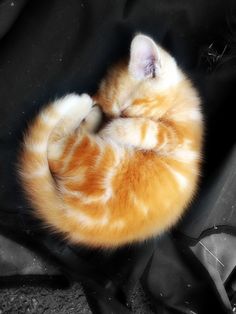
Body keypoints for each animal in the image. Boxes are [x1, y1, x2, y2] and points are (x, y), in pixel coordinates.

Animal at [18, 34, 203, 249]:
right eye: (112, 114)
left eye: (124, 112)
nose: (108, 120)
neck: (179, 104)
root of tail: (70, 217)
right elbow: (150, 128)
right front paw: (106, 125)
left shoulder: (180, 139)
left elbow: (150, 129)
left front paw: (112, 130)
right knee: (54, 145)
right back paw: (85, 107)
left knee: (55, 145)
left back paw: (85, 107)